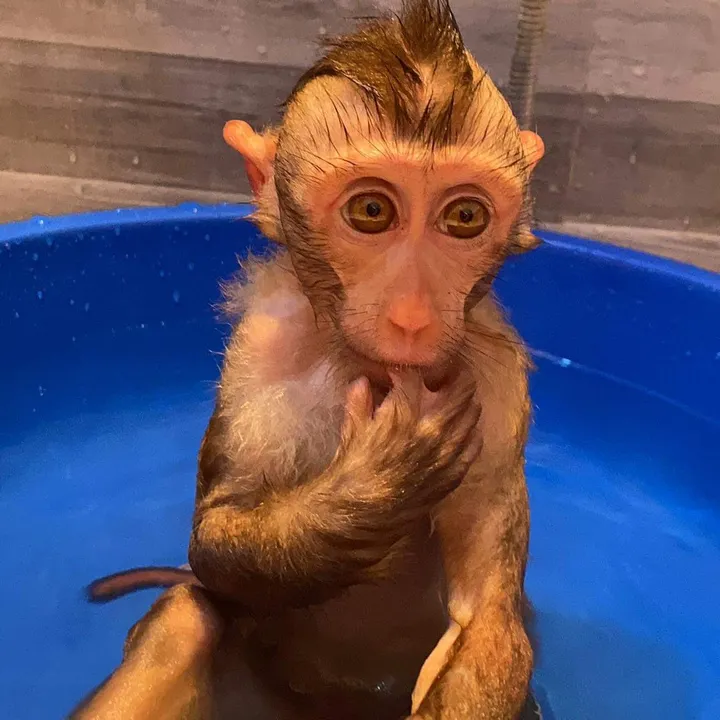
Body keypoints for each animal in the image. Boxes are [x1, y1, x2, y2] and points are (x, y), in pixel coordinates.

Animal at [73, 1, 546, 718]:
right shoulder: (258, 354)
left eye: (464, 216)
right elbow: (215, 535)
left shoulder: (498, 385)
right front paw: (378, 482)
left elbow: (485, 618)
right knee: (189, 614)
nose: (413, 316)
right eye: (372, 209)